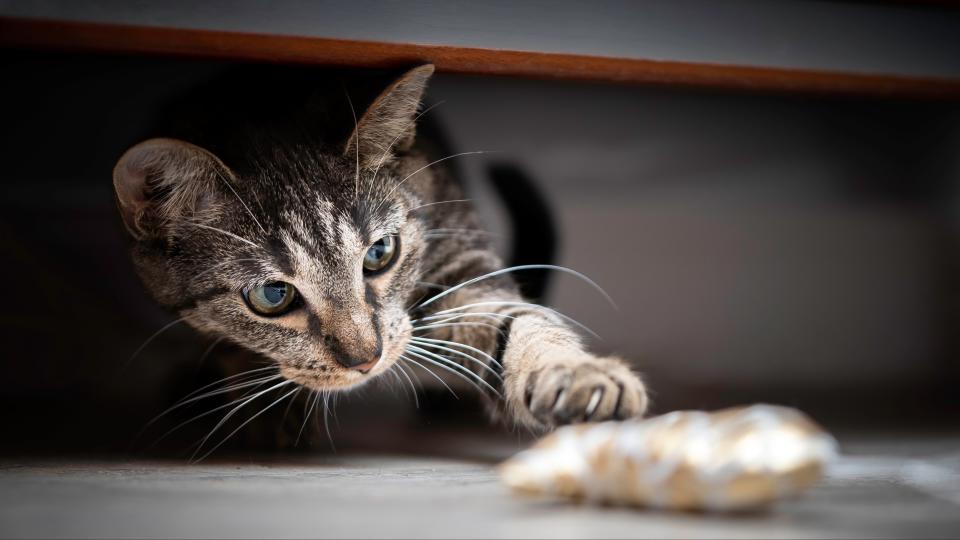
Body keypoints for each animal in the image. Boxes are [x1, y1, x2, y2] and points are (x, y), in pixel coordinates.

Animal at [116, 63, 648, 452]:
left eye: (379, 253)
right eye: (272, 295)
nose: (365, 359)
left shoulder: (464, 267)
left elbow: (522, 323)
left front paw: (579, 376)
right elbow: (229, 343)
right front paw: (260, 405)